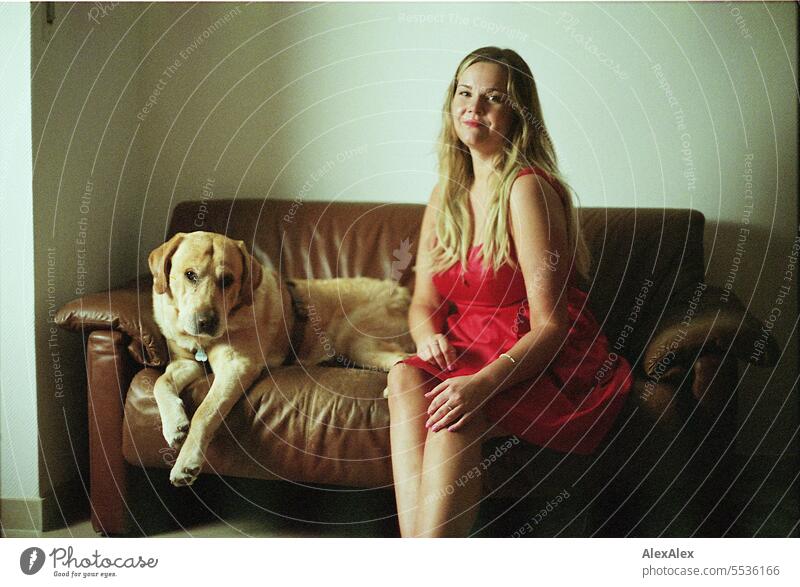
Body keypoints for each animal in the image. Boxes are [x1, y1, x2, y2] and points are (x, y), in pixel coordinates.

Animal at [147, 231, 416, 486]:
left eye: (227, 280)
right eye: (190, 275)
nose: (206, 322)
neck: (202, 342)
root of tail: (405, 294)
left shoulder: (237, 365)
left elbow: (205, 411)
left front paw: (186, 461)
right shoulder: (186, 362)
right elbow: (160, 383)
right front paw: (174, 423)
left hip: (355, 338)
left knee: (408, 357)